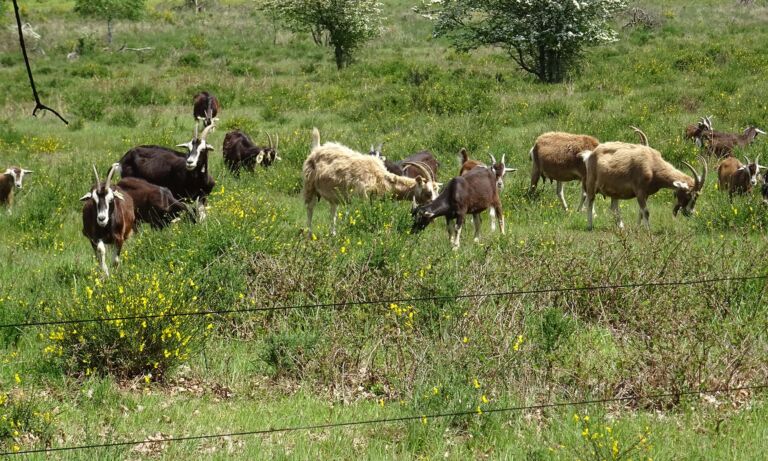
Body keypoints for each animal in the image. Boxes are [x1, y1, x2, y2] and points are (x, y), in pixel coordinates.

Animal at [304, 127, 440, 237]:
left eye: (437, 191)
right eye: (428, 192)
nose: (435, 205)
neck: (379, 177)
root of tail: (317, 149)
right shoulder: (360, 198)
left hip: (334, 194)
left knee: (333, 211)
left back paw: (333, 233)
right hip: (310, 185)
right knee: (310, 208)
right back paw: (309, 234)